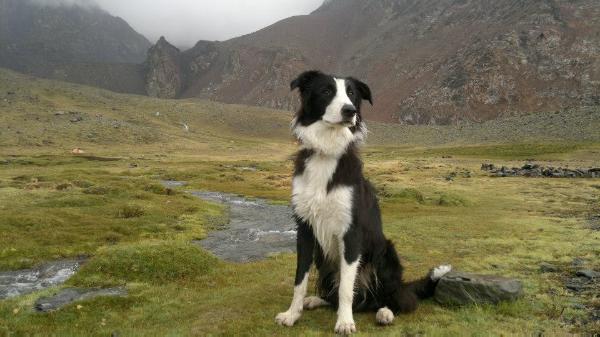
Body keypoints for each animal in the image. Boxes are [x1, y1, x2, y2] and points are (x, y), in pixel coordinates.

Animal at [276, 71, 450, 334]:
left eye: (351, 94)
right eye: (326, 91)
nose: (350, 111)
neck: (327, 153)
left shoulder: (351, 233)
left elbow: (347, 288)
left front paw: (345, 322)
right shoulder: (305, 230)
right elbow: (300, 279)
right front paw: (292, 314)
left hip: (386, 254)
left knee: (399, 298)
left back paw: (385, 312)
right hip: (326, 260)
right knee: (340, 295)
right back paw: (317, 300)